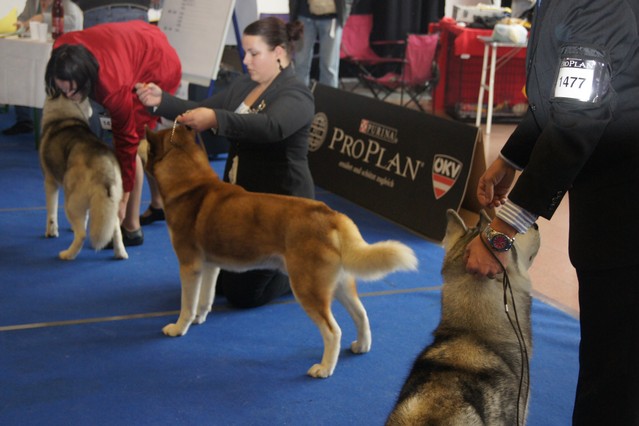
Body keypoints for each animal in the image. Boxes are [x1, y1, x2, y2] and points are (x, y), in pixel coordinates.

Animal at [39, 95, 127, 260]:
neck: (65, 114)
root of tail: (104, 166)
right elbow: (86, 218)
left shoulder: (50, 181)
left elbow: (51, 212)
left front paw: (51, 232)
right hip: (111, 205)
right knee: (116, 229)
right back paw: (120, 253)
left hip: (70, 203)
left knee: (82, 235)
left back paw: (67, 254)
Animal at [141, 125, 418, 378]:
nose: (138, 139)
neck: (190, 184)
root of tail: (331, 216)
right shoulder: (209, 265)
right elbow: (205, 298)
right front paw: (200, 317)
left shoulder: (189, 264)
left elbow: (186, 303)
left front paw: (179, 328)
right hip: (339, 283)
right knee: (361, 314)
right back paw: (362, 345)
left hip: (306, 287)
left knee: (333, 331)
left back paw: (324, 368)